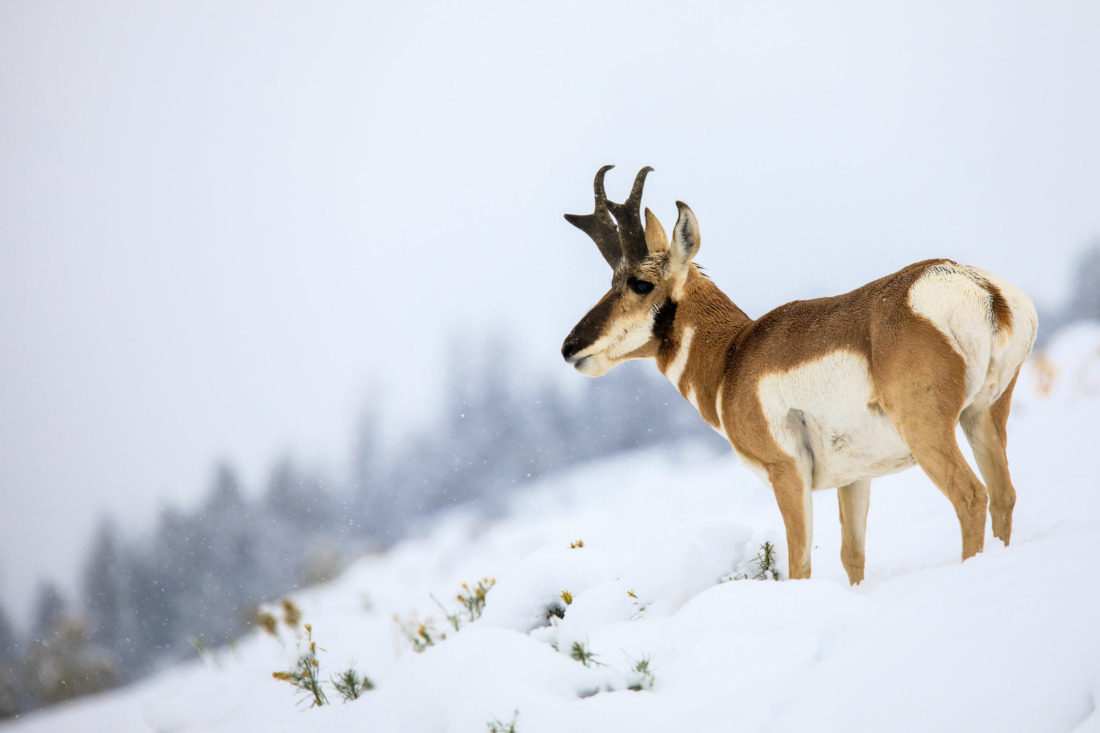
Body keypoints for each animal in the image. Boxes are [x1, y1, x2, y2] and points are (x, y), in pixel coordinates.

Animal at [561, 166, 1037, 585]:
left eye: (639, 283)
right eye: (611, 280)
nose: (569, 348)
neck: (733, 355)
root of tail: (973, 283)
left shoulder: (786, 473)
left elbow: (799, 565)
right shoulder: (855, 478)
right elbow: (852, 556)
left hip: (927, 432)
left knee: (971, 496)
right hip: (983, 415)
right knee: (1004, 495)